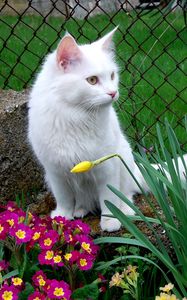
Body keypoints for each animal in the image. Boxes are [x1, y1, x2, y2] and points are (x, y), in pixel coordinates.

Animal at [27, 28, 186, 232]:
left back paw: (125, 211)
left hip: (124, 161)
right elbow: (64, 199)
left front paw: (111, 221)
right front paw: (62, 217)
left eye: (112, 76)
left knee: (127, 193)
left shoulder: (106, 168)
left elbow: (108, 199)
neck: (75, 116)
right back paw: (80, 210)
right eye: (92, 80)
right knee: (83, 201)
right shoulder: (56, 172)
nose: (113, 93)